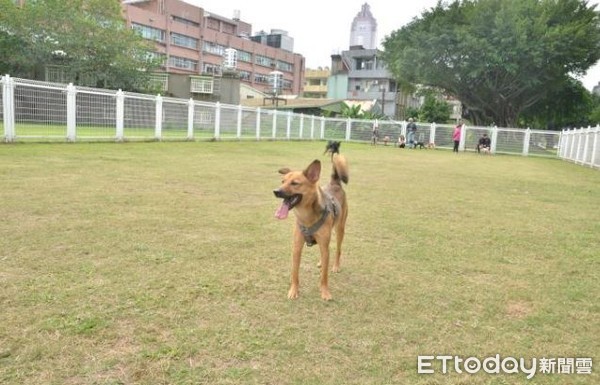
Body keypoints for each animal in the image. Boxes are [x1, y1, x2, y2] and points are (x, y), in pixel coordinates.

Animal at [274, 153, 350, 300]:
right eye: (282, 181)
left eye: (295, 183)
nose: (276, 191)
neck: (306, 217)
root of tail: (335, 183)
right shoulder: (297, 247)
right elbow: (295, 273)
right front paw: (293, 290)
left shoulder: (325, 244)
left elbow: (324, 276)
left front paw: (325, 292)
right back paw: (321, 262)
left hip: (340, 230)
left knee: (337, 250)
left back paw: (336, 266)